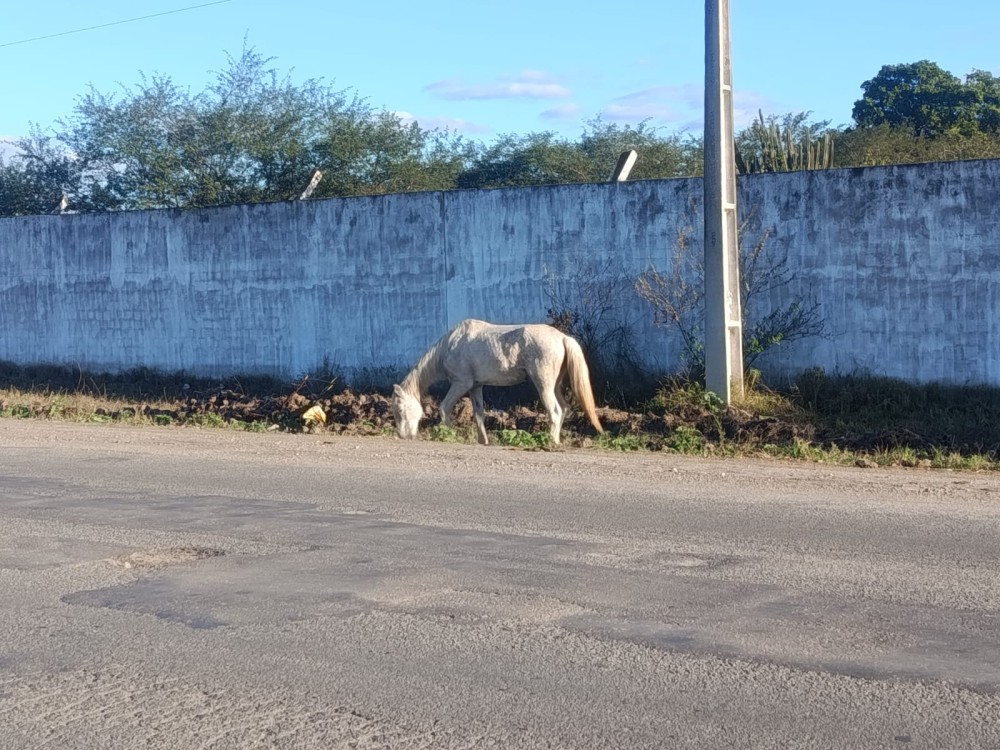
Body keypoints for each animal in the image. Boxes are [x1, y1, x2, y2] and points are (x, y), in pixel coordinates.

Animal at [391, 318, 604, 445]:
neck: (450, 346)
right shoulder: (475, 386)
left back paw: (550, 442)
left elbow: (444, 408)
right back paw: (557, 441)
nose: (403, 436)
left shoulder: (461, 384)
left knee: (555, 411)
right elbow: (479, 415)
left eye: (400, 409)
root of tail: (562, 338)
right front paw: (483, 441)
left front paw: (452, 435)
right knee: (564, 408)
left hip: (543, 385)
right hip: (554, 385)